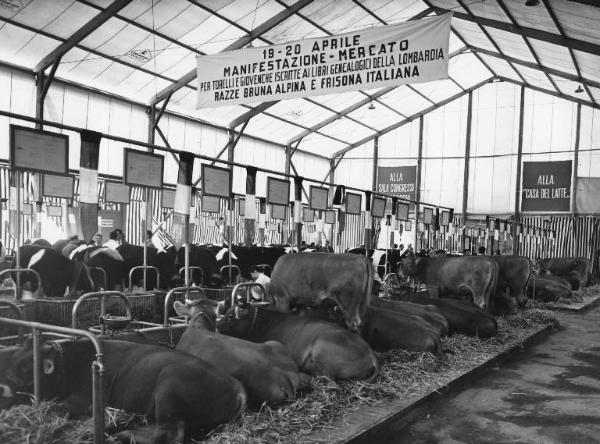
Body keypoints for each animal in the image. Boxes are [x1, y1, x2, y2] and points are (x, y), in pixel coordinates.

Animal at [0, 338, 246, 442]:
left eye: (20, 373)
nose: (4, 390)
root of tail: (237, 386)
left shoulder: (84, 400)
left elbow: (56, 408)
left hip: (168, 390)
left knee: (169, 434)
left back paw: (120, 435)